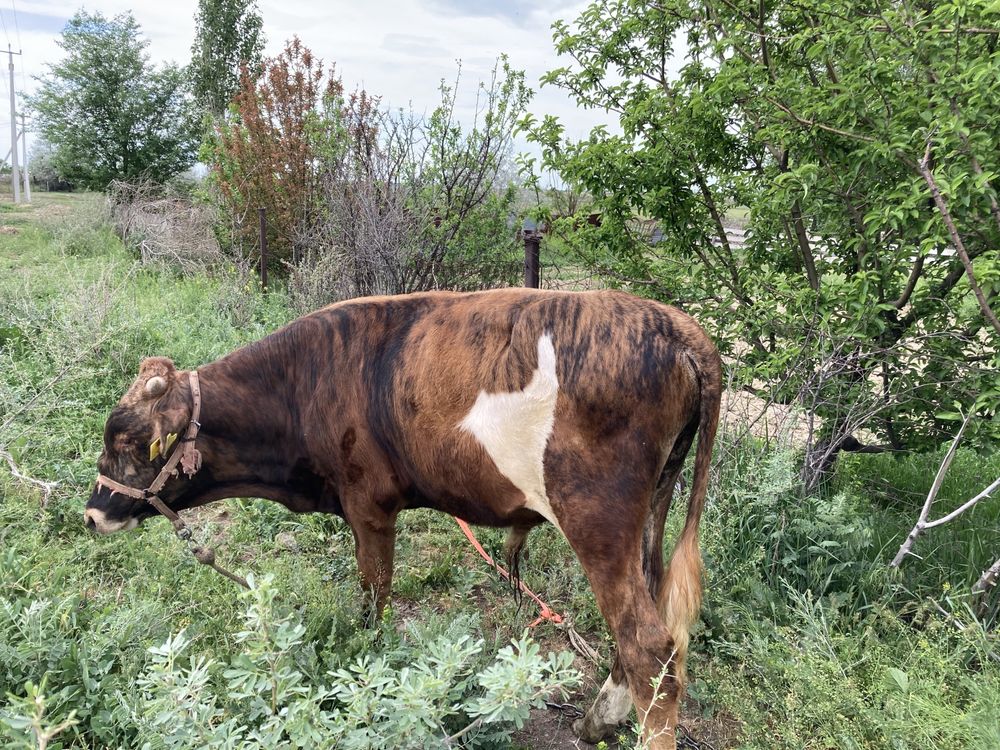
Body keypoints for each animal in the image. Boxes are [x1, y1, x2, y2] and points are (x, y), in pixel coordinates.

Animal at [86, 288, 720, 748]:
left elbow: (373, 602)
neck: (304, 383)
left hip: (597, 521)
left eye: (128, 443)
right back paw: (597, 720)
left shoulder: (369, 509)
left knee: (650, 648)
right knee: (644, 632)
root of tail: (675, 326)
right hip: (649, 514)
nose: (92, 515)